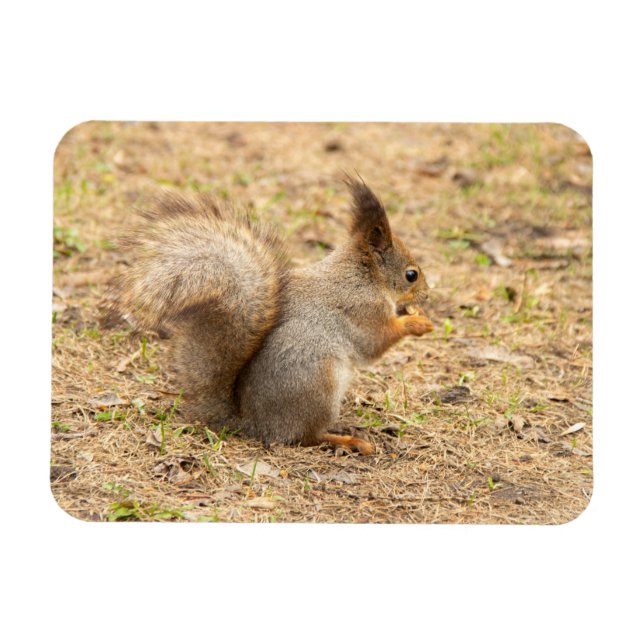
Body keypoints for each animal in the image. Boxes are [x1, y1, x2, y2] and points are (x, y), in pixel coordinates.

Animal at [107, 176, 433, 455]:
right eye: (411, 275)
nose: (427, 295)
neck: (363, 277)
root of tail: (253, 424)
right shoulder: (363, 310)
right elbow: (375, 343)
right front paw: (417, 322)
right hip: (318, 384)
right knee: (306, 437)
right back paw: (347, 440)